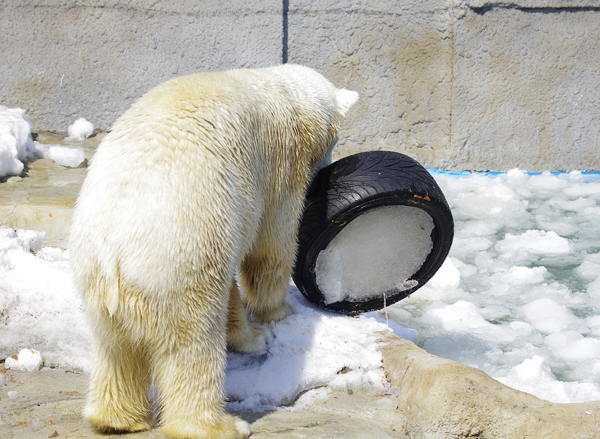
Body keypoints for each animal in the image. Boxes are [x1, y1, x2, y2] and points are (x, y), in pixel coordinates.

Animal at [70, 65, 358, 439]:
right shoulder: (279, 165)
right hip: (180, 258)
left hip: (96, 280)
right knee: (193, 343)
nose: (325, 168)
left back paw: (117, 418)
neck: (283, 92)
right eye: (336, 141)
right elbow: (271, 246)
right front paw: (274, 318)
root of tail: (112, 247)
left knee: (115, 350)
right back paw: (220, 425)